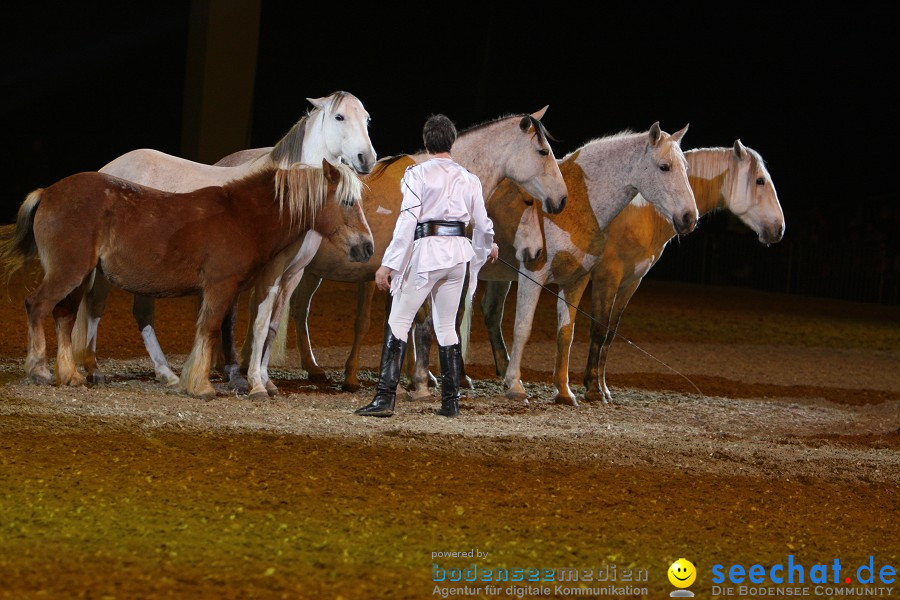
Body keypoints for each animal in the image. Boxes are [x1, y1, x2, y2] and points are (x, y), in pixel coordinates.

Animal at [72, 91, 376, 386]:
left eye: (367, 118)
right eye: (339, 117)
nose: (367, 159)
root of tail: (108, 168)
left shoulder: (293, 274)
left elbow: (272, 326)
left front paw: (263, 378)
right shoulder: (270, 271)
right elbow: (257, 323)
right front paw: (252, 379)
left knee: (142, 312)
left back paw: (166, 373)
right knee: (96, 308)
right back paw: (94, 369)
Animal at [468, 123, 700, 404]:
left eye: (685, 168)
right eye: (664, 167)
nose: (689, 218)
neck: (573, 207)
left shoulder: (577, 280)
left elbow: (566, 334)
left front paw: (564, 392)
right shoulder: (533, 274)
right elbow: (523, 327)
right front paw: (515, 385)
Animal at [580, 141, 784, 404]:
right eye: (760, 181)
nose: (779, 228)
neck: (643, 212)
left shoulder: (630, 282)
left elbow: (610, 333)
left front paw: (601, 387)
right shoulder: (606, 278)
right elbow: (599, 329)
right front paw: (594, 391)